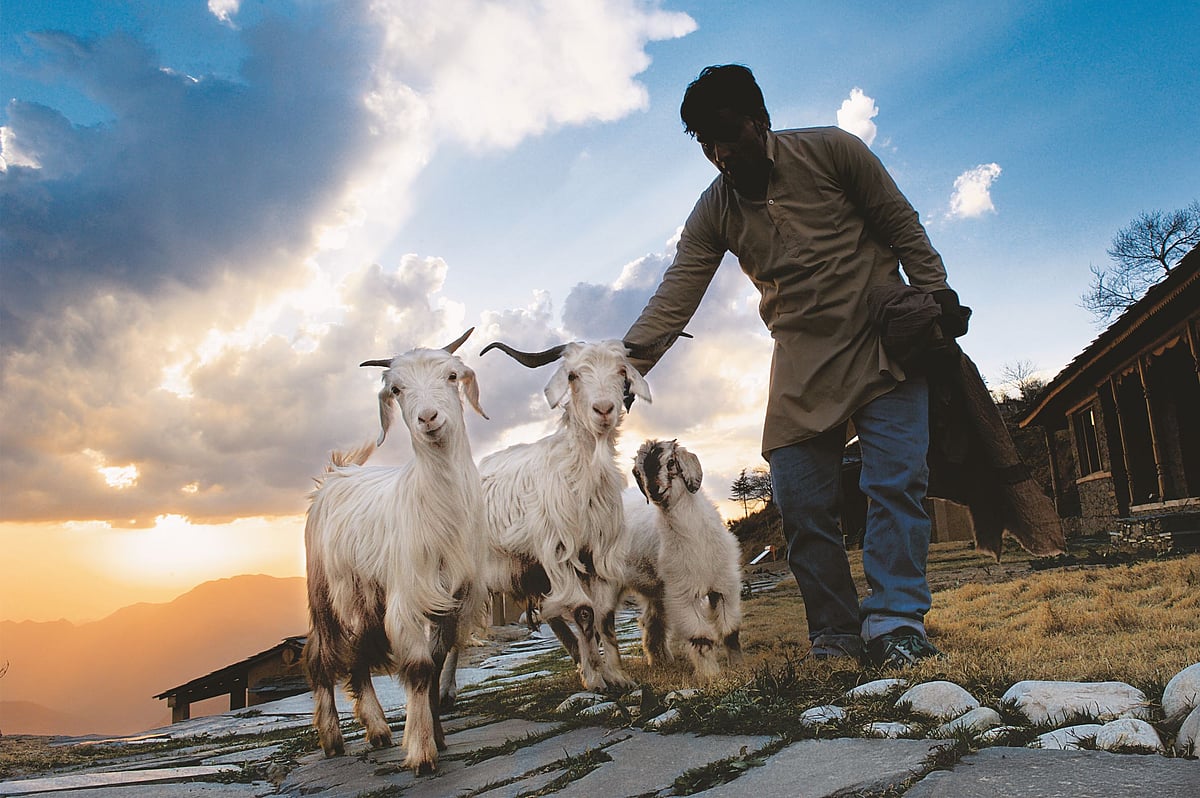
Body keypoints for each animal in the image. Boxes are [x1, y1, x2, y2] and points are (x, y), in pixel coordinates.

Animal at [302, 329, 487, 774]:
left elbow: (436, 662)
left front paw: (438, 736)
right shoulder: (408, 596)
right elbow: (419, 668)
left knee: (357, 656)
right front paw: (421, 752)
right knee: (320, 655)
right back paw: (332, 737)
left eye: (452, 375)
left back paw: (377, 729)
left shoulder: (452, 599)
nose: (429, 418)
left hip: (366, 597)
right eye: (397, 389)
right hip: (325, 594)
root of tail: (335, 474)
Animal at [625, 439, 744, 680]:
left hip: (656, 592)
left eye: (671, 462)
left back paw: (660, 661)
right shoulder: (683, 594)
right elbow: (701, 637)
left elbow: (729, 630)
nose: (654, 490)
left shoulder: (724, 585)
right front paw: (710, 675)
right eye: (638, 471)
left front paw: (738, 666)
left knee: (651, 621)